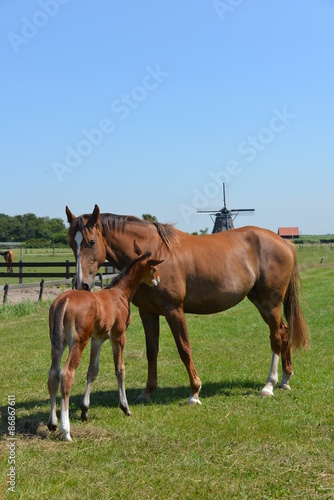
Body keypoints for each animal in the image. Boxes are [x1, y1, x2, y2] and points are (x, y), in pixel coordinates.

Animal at [47, 242, 163, 442]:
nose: (158, 281)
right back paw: (66, 430)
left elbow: (92, 371)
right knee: (66, 374)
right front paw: (125, 408)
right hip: (78, 342)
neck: (120, 293)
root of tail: (64, 299)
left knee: (53, 374)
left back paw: (52, 423)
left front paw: (85, 410)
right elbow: (120, 370)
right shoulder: (118, 336)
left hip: (58, 342)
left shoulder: (98, 339)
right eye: (154, 268)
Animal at [66, 205, 310, 404]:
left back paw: (269, 385)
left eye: (91, 242)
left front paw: (194, 392)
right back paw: (285, 379)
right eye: (71, 244)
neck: (154, 252)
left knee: (276, 337)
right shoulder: (147, 312)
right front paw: (147, 392)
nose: (82, 284)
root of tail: (283, 241)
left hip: (271, 303)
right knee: (284, 331)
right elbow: (151, 350)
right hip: (260, 301)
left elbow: (184, 348)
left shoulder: (174, 310)